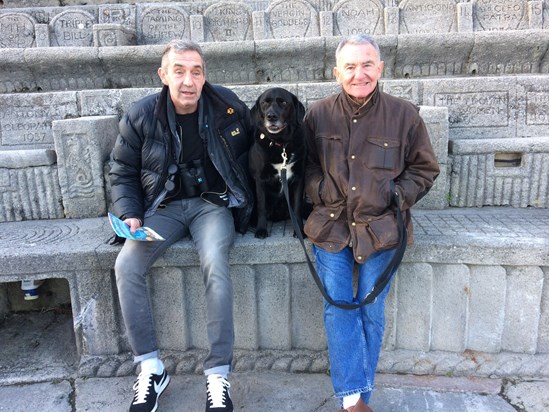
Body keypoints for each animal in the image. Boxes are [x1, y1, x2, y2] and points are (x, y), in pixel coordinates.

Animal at [249, 88, 306, 240]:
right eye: (264, 103)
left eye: (284, 102)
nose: (271, 116)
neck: (280, 144)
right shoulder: (260, 179)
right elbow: (261, 206)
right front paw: (261, 229)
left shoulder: (299, 177)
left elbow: (297, 207)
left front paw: (299, 230)